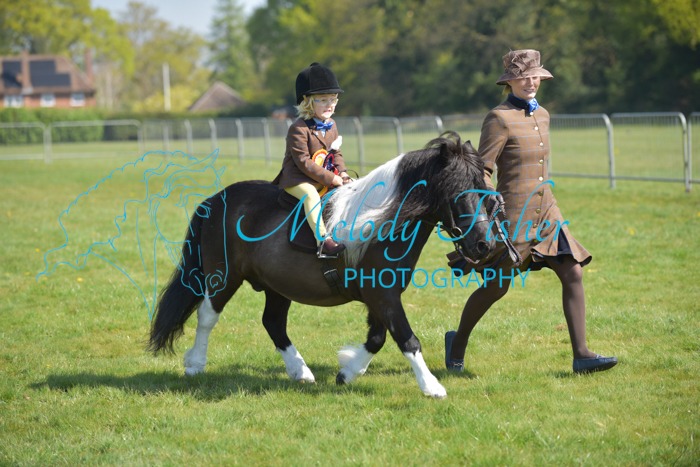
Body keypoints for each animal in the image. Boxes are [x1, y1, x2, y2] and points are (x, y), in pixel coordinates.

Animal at [148, 132, 497, 398]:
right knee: (208, 315)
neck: (381, 222)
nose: (485, 245)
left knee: (273, 322)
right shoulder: (383, 296)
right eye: (458, 191)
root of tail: (217, 199)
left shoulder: (382, 295)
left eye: (486, 190)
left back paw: (300, 371)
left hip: (277, 285)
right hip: (224, 277)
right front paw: (432, 387)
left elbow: (377, 339)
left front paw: (348, 372)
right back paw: (195, 364)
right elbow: (406, 339)